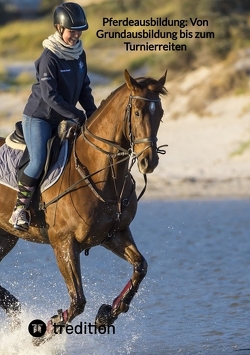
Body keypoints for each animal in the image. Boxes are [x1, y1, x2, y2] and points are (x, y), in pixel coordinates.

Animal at [0, 68, 168, 344]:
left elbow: (140, 267)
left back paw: (15, 309)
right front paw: (43, 333)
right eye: (137, 112)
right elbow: (78, 301)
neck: (99, 172)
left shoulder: (114, 234)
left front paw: (107, 314)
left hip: (5, 237)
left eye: (161, 114)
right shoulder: (63, 243)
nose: (148, 161)